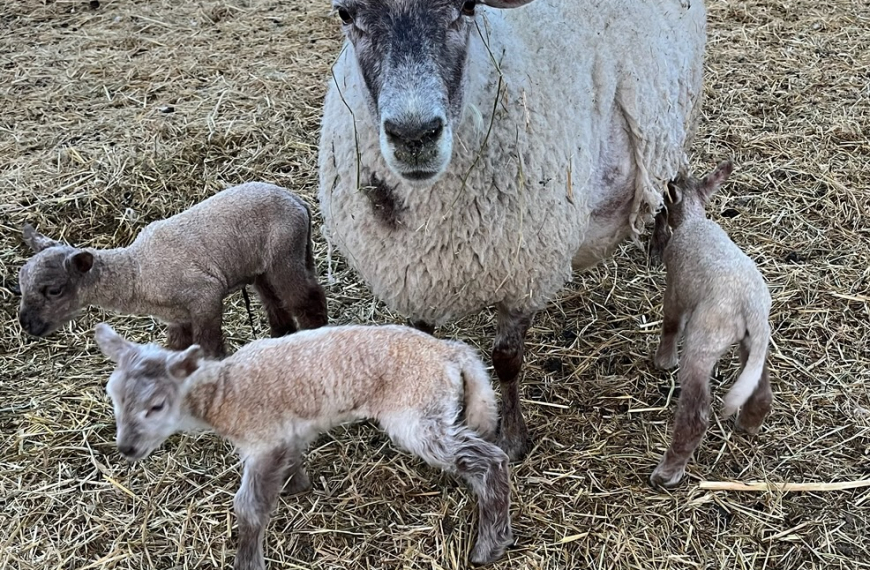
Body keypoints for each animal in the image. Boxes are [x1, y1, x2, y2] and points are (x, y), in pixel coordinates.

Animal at [18, 181, 328, 356]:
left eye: (54, 290)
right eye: (19, 283)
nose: (26, 324)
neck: (137, 273)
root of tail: (297, 200)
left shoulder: (205, 297)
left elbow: (208, 348)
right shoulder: (178, 318)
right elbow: (176, 350)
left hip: (284, 253)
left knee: (307, 299)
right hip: (265, 264)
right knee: (275, 301)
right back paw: (281, 337)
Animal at [93, 322, 516, 564]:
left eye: (156, 406)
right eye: (112, 396)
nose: (126, 448)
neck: (223, 394)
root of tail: (450, 352)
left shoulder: (263, 441)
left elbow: (248, 508)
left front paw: (248, 561)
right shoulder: (288, 433)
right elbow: (291, 462)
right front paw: (296, 486)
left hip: (417, 410)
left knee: (488, 459)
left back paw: (489, 547)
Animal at [320, 0, 708, 460]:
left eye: (468, 7)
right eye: (345, 13)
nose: (414, 135)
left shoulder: (525, 272)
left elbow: (507, 359)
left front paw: (512, 438)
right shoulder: (411, 275)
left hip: (676, 109)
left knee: (672, 177)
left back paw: (661, 241)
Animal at [652, 161, 772, 488]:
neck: (693, 219)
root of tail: (750, 304)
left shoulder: (675, 289)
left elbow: (670, 324)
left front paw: (664, 361)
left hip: (704, 339)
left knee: (696, 417)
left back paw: (667, 472)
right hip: (753, 342)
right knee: (760, 388)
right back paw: (749, 424)